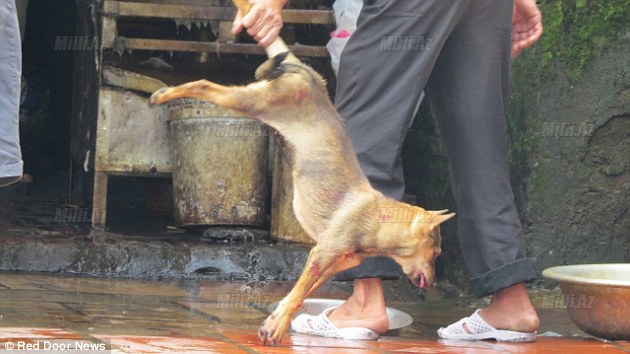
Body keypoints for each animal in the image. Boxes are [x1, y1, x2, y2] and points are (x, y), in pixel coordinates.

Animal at [149, 1, 454, 344]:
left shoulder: (327, 263)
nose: (433, 281)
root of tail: (306, 75)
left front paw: (275, 321)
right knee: (203, 84)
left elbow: (296, 295)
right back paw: (162, 95)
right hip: (255, 102)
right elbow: (298, 294)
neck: (379, 219)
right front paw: (278, 326)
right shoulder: (321, 255)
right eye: (436, 252)